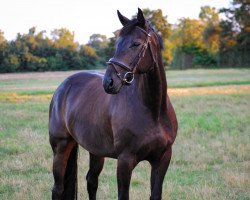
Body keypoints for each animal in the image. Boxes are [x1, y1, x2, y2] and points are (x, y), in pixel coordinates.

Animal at [48, 8, 178, 200]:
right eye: (117, 43)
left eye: (136, 44)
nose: (109, 82)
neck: (153, 111)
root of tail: (63, 87)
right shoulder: (125, 161)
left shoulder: (162, 159)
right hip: (61, 148)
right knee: (58, 189)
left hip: (95, 150)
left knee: (91, 181)